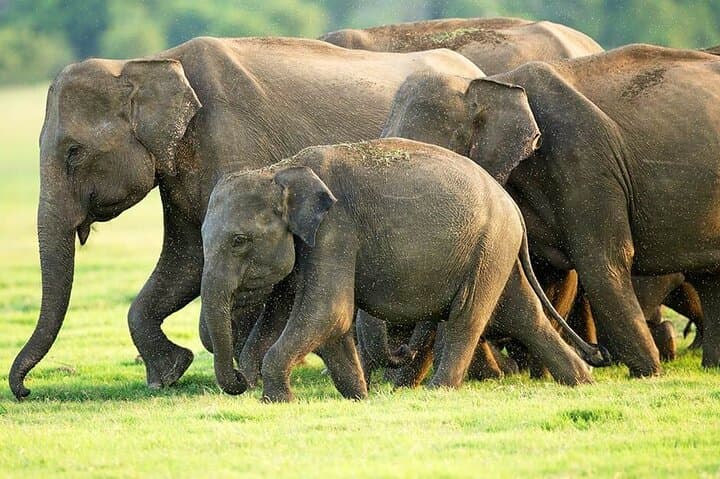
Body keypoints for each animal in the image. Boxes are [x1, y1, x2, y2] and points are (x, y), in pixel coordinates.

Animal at [8, 35, 482, 399]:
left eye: (73, 152)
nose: (25, 390)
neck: (150, 61)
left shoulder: (232, 147)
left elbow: (247, 275)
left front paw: (245, 378)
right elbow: (186, 261)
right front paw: (170, 374)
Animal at [200, 138, 607, 401]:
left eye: (239, 241)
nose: (241, 380)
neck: (281, 170)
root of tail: (513, 208)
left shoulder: (336, 230)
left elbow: (328, 312)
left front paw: (279, 400)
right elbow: (324, 320)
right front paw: (358, 397)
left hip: (488, 245)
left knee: (467, 316)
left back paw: (437, 392)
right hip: (495, 250)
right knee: (523, 314)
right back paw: (582, 382)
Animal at [381, 43, 720, 376]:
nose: (598, 354)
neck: (494, 82)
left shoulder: (585, 164)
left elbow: (602, 261)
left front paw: (648, 374)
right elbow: (548, 271)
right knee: (709, 278)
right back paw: (711, 366)